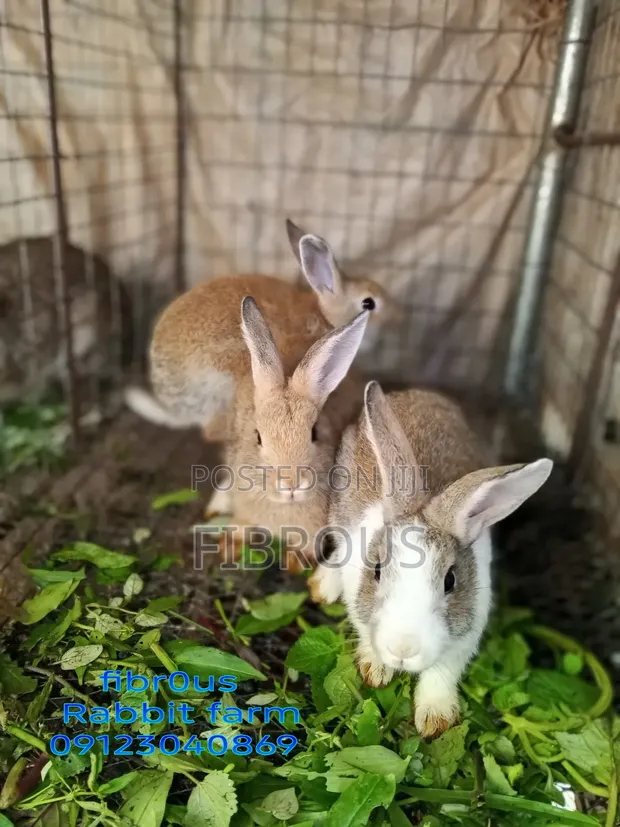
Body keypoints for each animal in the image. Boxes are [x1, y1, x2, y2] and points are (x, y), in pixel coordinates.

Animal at [308, 381, 553, 739]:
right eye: (377, 571)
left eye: (450, 581)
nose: (403, 650)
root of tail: (420, 393)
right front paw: (375, 670)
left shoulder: (466, 634)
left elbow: (443, 672)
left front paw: (436, 720)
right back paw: (322, 587)